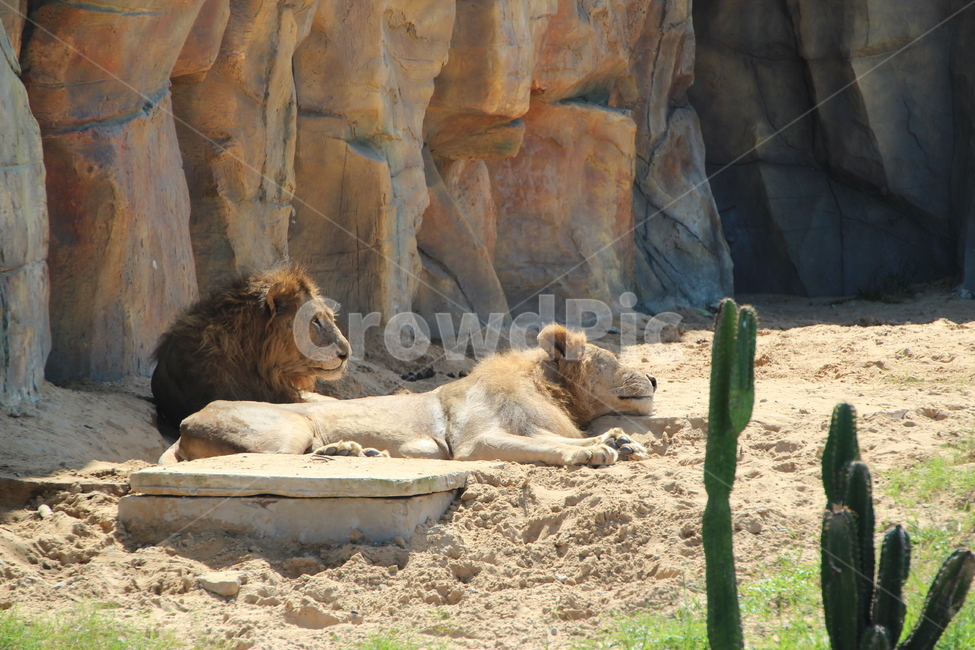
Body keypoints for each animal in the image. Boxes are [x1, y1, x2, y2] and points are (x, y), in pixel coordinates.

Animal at [159, 324, 656, 466]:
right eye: (613, 361)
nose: (653, 380)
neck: (546, 390)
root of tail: (183, 424)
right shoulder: (474, 443)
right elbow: (549, 448)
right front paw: (591, 453)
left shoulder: (534, 425)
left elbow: (557, 438)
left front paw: (614, 440)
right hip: (290, 422)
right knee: (271, 457)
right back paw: (346, 452)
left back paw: (354, 453)